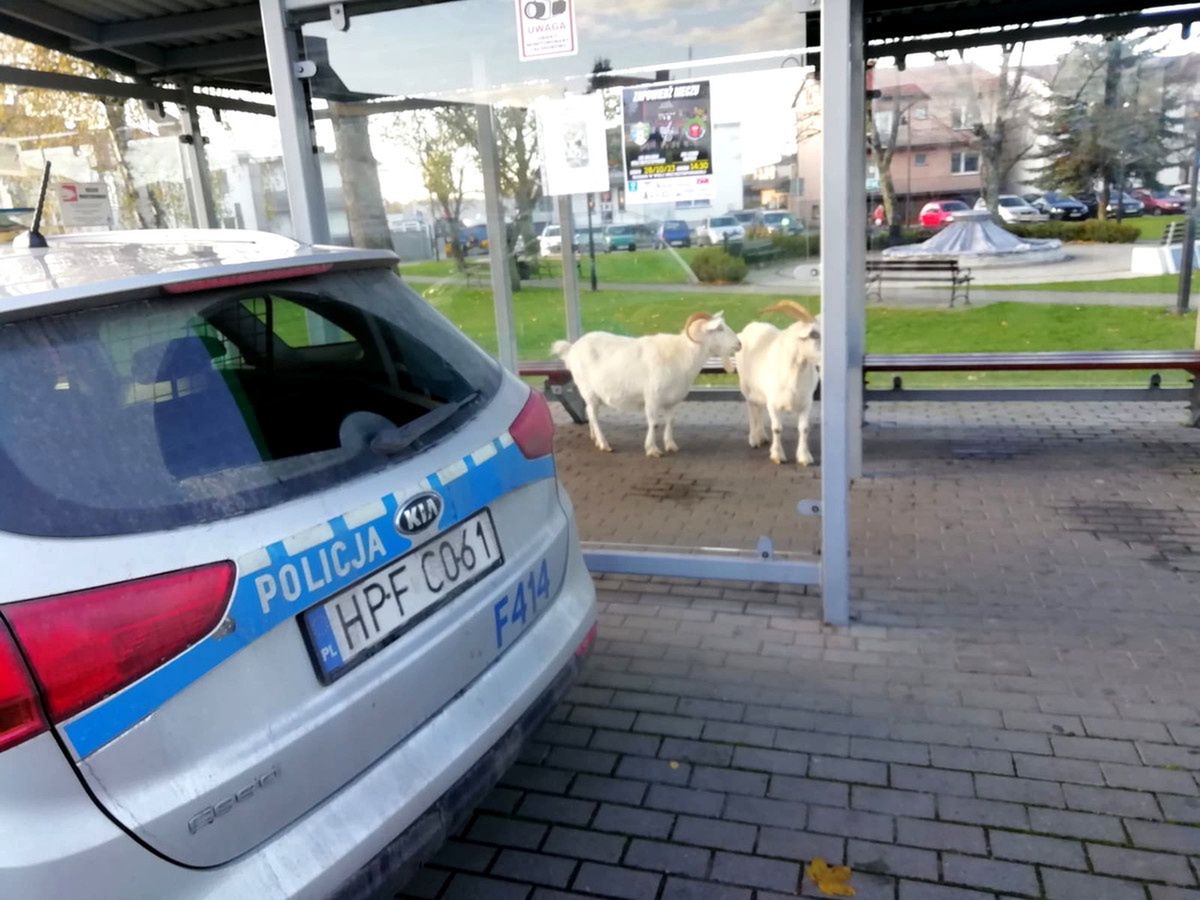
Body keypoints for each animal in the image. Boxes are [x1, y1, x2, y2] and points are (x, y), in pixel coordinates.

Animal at [552, 314, 739, 458]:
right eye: (719, 328)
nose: (739, 344)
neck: (682, 355)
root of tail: (571, 349)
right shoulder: (652, 397)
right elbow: (652, 421)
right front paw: (652, 449)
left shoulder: (673, 400)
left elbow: (670, 420)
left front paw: (671, 445)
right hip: (588, 389)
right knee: (592, 414)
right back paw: (604, 444)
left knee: (590, 413)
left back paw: (594, 438)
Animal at [734, 303, 820, 468]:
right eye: (814, 335)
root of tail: (754, 325)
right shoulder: (773, 403)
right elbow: (777, 429)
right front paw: (777, 456)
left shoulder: (807, 403)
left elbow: (804, 428)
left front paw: (804, 457)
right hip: (747, 387)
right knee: (752, 409)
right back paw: (754, 439)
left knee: (759, 409)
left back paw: (762, 436)